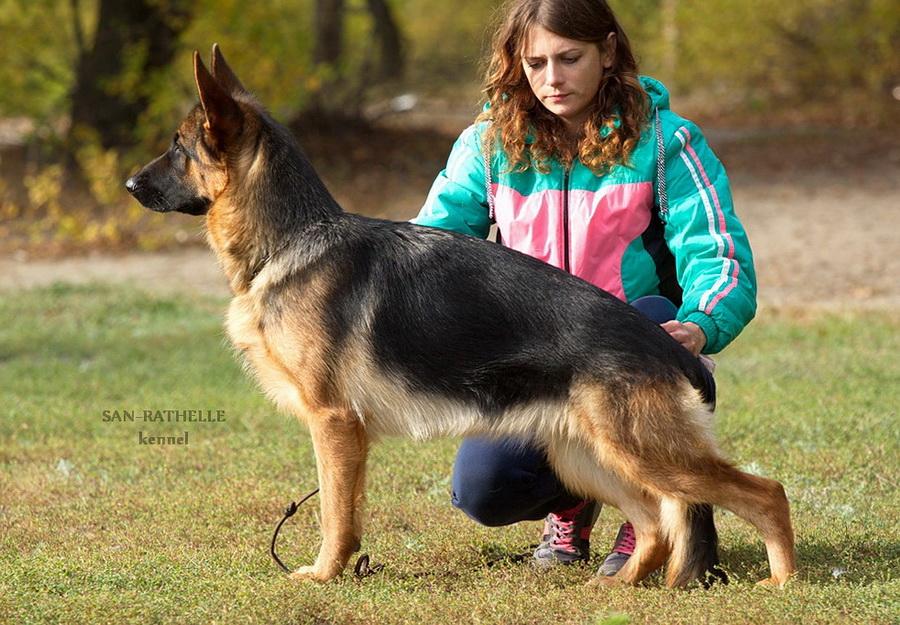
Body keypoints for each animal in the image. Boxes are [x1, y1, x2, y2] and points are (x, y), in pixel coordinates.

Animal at [125, 46, 796, 588]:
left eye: (178, 148)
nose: (130, 183)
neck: (289, 239)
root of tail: (671, 346)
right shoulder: (344, 434)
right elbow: (348, 513)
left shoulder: (334, 425)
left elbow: (335, 517)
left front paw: (322, 575)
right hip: (588, 457)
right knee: (658, 523)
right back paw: (617, 585)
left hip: (641, 452)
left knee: (763, 494)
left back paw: (781, 582)